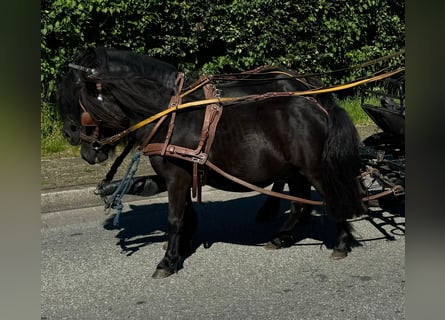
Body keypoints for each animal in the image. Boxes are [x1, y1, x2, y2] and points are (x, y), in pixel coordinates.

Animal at [57, 47, 366, 278]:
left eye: (77, 96)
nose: (77, 143)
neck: (169, 116)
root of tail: (321, 105)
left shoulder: (177, 176)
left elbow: (174, 217)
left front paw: (168, 261)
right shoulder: (179, 174)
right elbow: (183, 212)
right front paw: (181, 245)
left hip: (314, 169)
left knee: (332, 198)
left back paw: (340, 243)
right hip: (296, 170)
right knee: (301, 203)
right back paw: (281, 236)